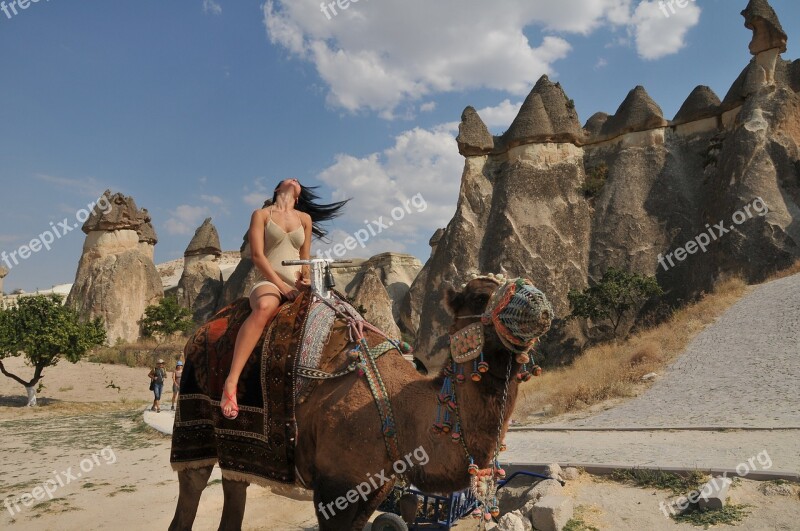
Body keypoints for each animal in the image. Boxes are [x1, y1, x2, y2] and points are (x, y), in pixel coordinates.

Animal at [170, 276, 552, 528]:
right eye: (481, 296)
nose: (543, 305)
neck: (401, 414)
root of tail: (200, 331)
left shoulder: (375, 487)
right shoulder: (334, 489)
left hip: (237, 451)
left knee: (235, 484)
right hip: (193, 418)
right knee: (191, 488)